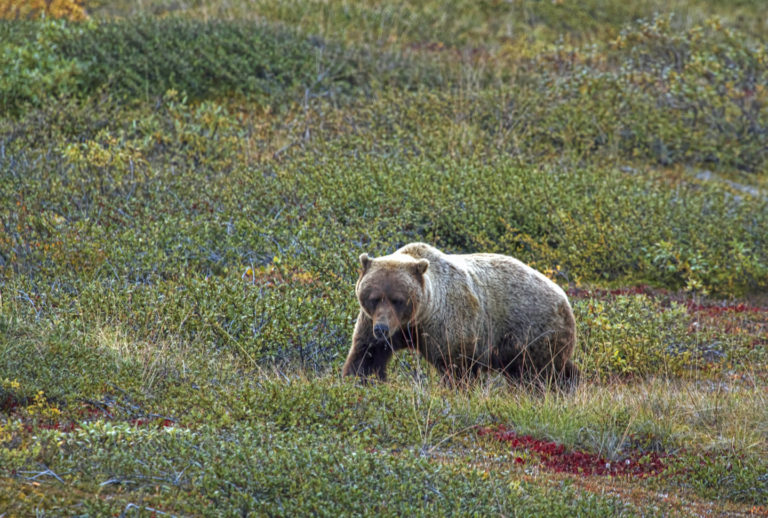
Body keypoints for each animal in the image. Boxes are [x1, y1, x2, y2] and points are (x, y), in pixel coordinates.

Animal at [340, 244, 576, 390]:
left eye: (398, 299)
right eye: (374, 298)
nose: (382, 329)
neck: (419, 317)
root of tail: (564, 297)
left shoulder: (448, 323)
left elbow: (457, 367)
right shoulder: (375, 323)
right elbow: (367, 354)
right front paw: (359, 379)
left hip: (534, 333)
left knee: (537, 375)